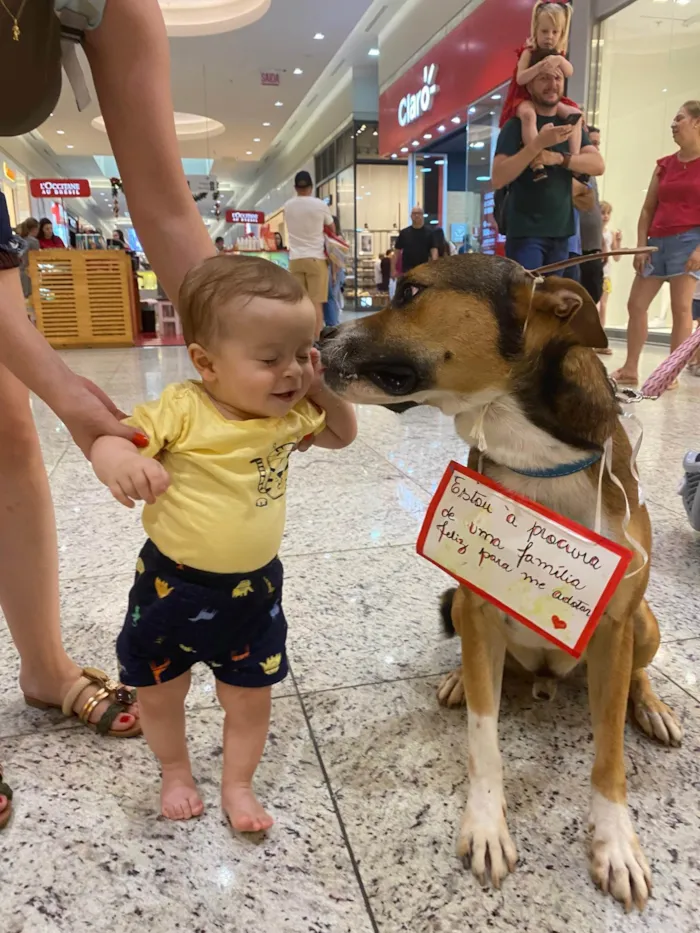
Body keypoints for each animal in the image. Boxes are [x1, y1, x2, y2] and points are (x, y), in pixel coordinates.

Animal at [322, 253, 684, 912]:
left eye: (410, 290)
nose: (319, 335)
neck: (536, 457)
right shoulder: (481, 608)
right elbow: (483, 735)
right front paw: (487, 825)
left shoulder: (614, 624)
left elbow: (609, 753)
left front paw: (616, 843)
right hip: (461, 608)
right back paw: (456, 680)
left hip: (644, 625)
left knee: (635, 676)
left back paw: (652, 705)